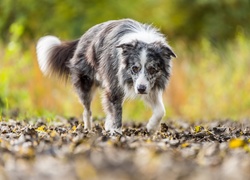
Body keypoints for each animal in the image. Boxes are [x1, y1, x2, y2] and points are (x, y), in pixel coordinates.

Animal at [36, 18, 176, 134]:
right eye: (135, 68)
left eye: (152, 69)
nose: (141, 89)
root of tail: (81, 39)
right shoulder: (115, 85)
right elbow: (117, 111)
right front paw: (117, 132)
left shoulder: (148, 86)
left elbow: (161, 110)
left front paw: (151, 127)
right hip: (86, 84)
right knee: (87, 110)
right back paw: (88, 129)